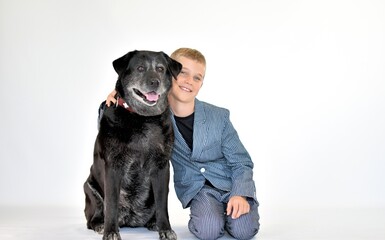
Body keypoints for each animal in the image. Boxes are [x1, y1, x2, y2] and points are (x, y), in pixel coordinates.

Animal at [83, 49, 182, 239]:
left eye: (160, 69)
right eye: (140, 68)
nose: (155, 82)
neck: (142, 118)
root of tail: (130, 220)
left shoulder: (162, 167)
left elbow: (162, 204)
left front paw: (165, 229)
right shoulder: (113, 167)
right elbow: (111, 204)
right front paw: (111, 232)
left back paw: (153, 222)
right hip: (89, 187)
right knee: (93, 217)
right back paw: (100, 225)